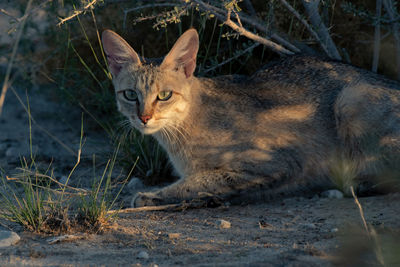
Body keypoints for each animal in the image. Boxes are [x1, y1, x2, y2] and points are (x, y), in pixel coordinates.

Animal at [101, 28, 400, 207]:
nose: (144, 117)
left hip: (351, 100)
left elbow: (201, 180)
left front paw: (151, 195)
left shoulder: (277, 162)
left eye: (164, 95)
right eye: (130, 94)